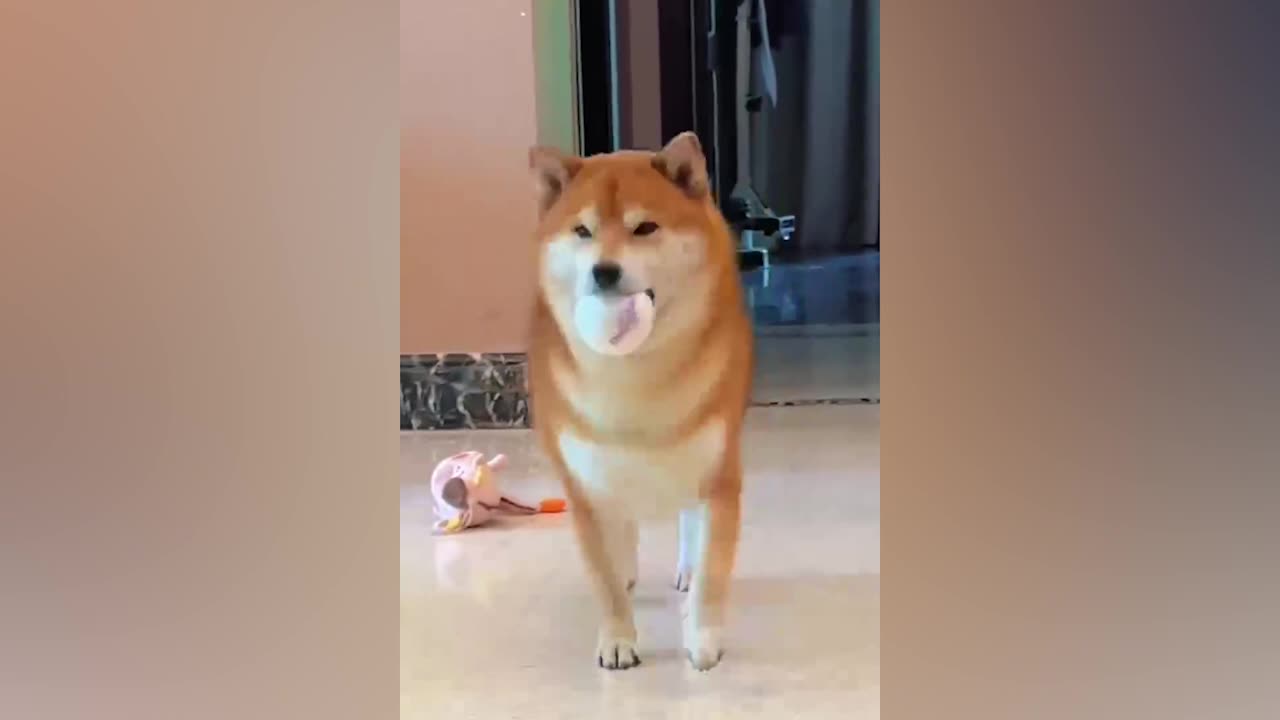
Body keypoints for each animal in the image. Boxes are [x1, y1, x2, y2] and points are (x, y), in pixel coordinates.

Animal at [527, 133, 752, 666]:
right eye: (582, 231)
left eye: (645, 227)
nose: (604, 271)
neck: (635, 374)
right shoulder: (585, 484)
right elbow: (604, 579)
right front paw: (617, 639)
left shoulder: (719, 474)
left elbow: (712, 568)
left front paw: (703, 639)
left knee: (688, 524)